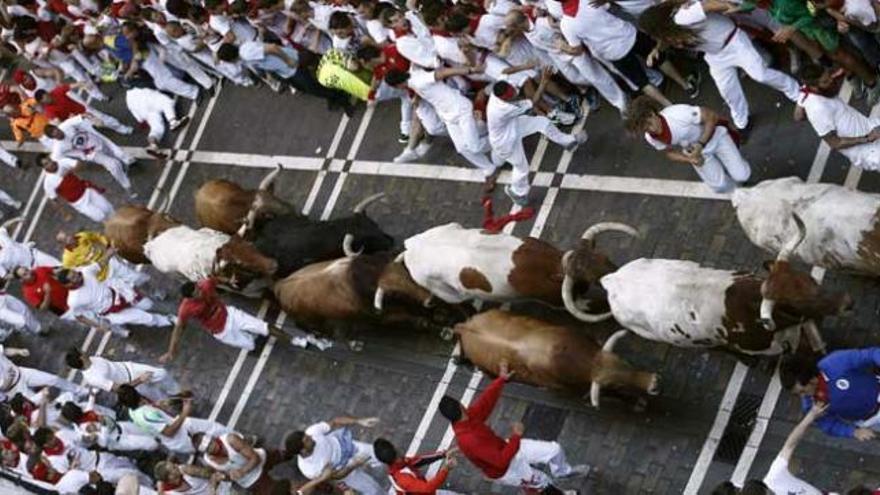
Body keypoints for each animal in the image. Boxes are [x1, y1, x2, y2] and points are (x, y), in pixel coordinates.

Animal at [372, 222, 640, 316]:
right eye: (594, 276)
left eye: (604, 257)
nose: (618, 271)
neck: (550, 265)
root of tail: (411, 248)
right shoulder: (551, 298)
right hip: (446, 291)